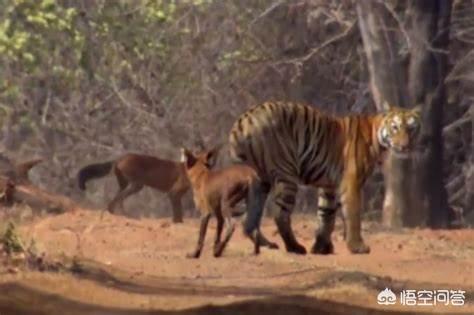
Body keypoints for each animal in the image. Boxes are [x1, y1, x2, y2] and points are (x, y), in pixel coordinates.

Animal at [228, 102, 420, 256]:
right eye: (395, 127)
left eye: (411, 129)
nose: (405, 146)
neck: (377, 136)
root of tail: (242, 121)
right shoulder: (351, 183)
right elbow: (353, 216)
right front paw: (357, 247)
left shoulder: (329, 186)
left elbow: (326, 216)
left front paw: (322, 248)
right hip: (286, 173)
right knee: (279, 214)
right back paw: (295, 247)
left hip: (260, 180)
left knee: (249, 218)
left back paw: (267, 244)